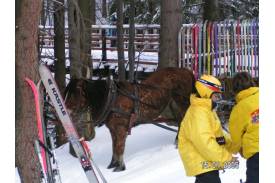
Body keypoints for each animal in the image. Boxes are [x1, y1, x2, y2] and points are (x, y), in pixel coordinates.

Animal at [64, 67, 196, 172]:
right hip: (173, 106)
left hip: (182, 103)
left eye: (73, 94)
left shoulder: (120, 129)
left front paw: (120, 168)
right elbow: (114, 147)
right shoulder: (113, 129)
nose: (65, 110)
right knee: (180, 122)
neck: (112, 98)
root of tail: (186, 71)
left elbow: (119, 147)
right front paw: (112, 165)